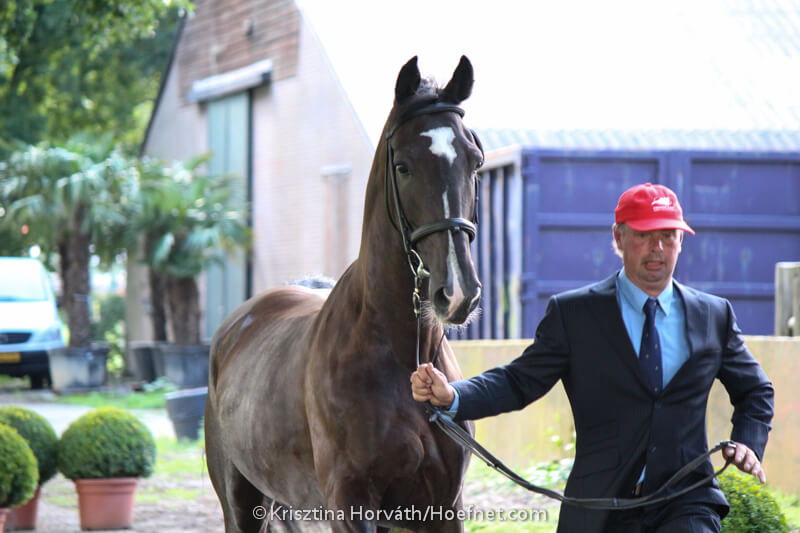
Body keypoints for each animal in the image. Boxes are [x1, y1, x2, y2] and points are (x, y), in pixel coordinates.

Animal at [205, 55, 482, 532]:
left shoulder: (443, 508)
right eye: (403, 165)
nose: (457, 293)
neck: (401, 356)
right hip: (241, 504)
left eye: (475, 160)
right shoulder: (351, 505)